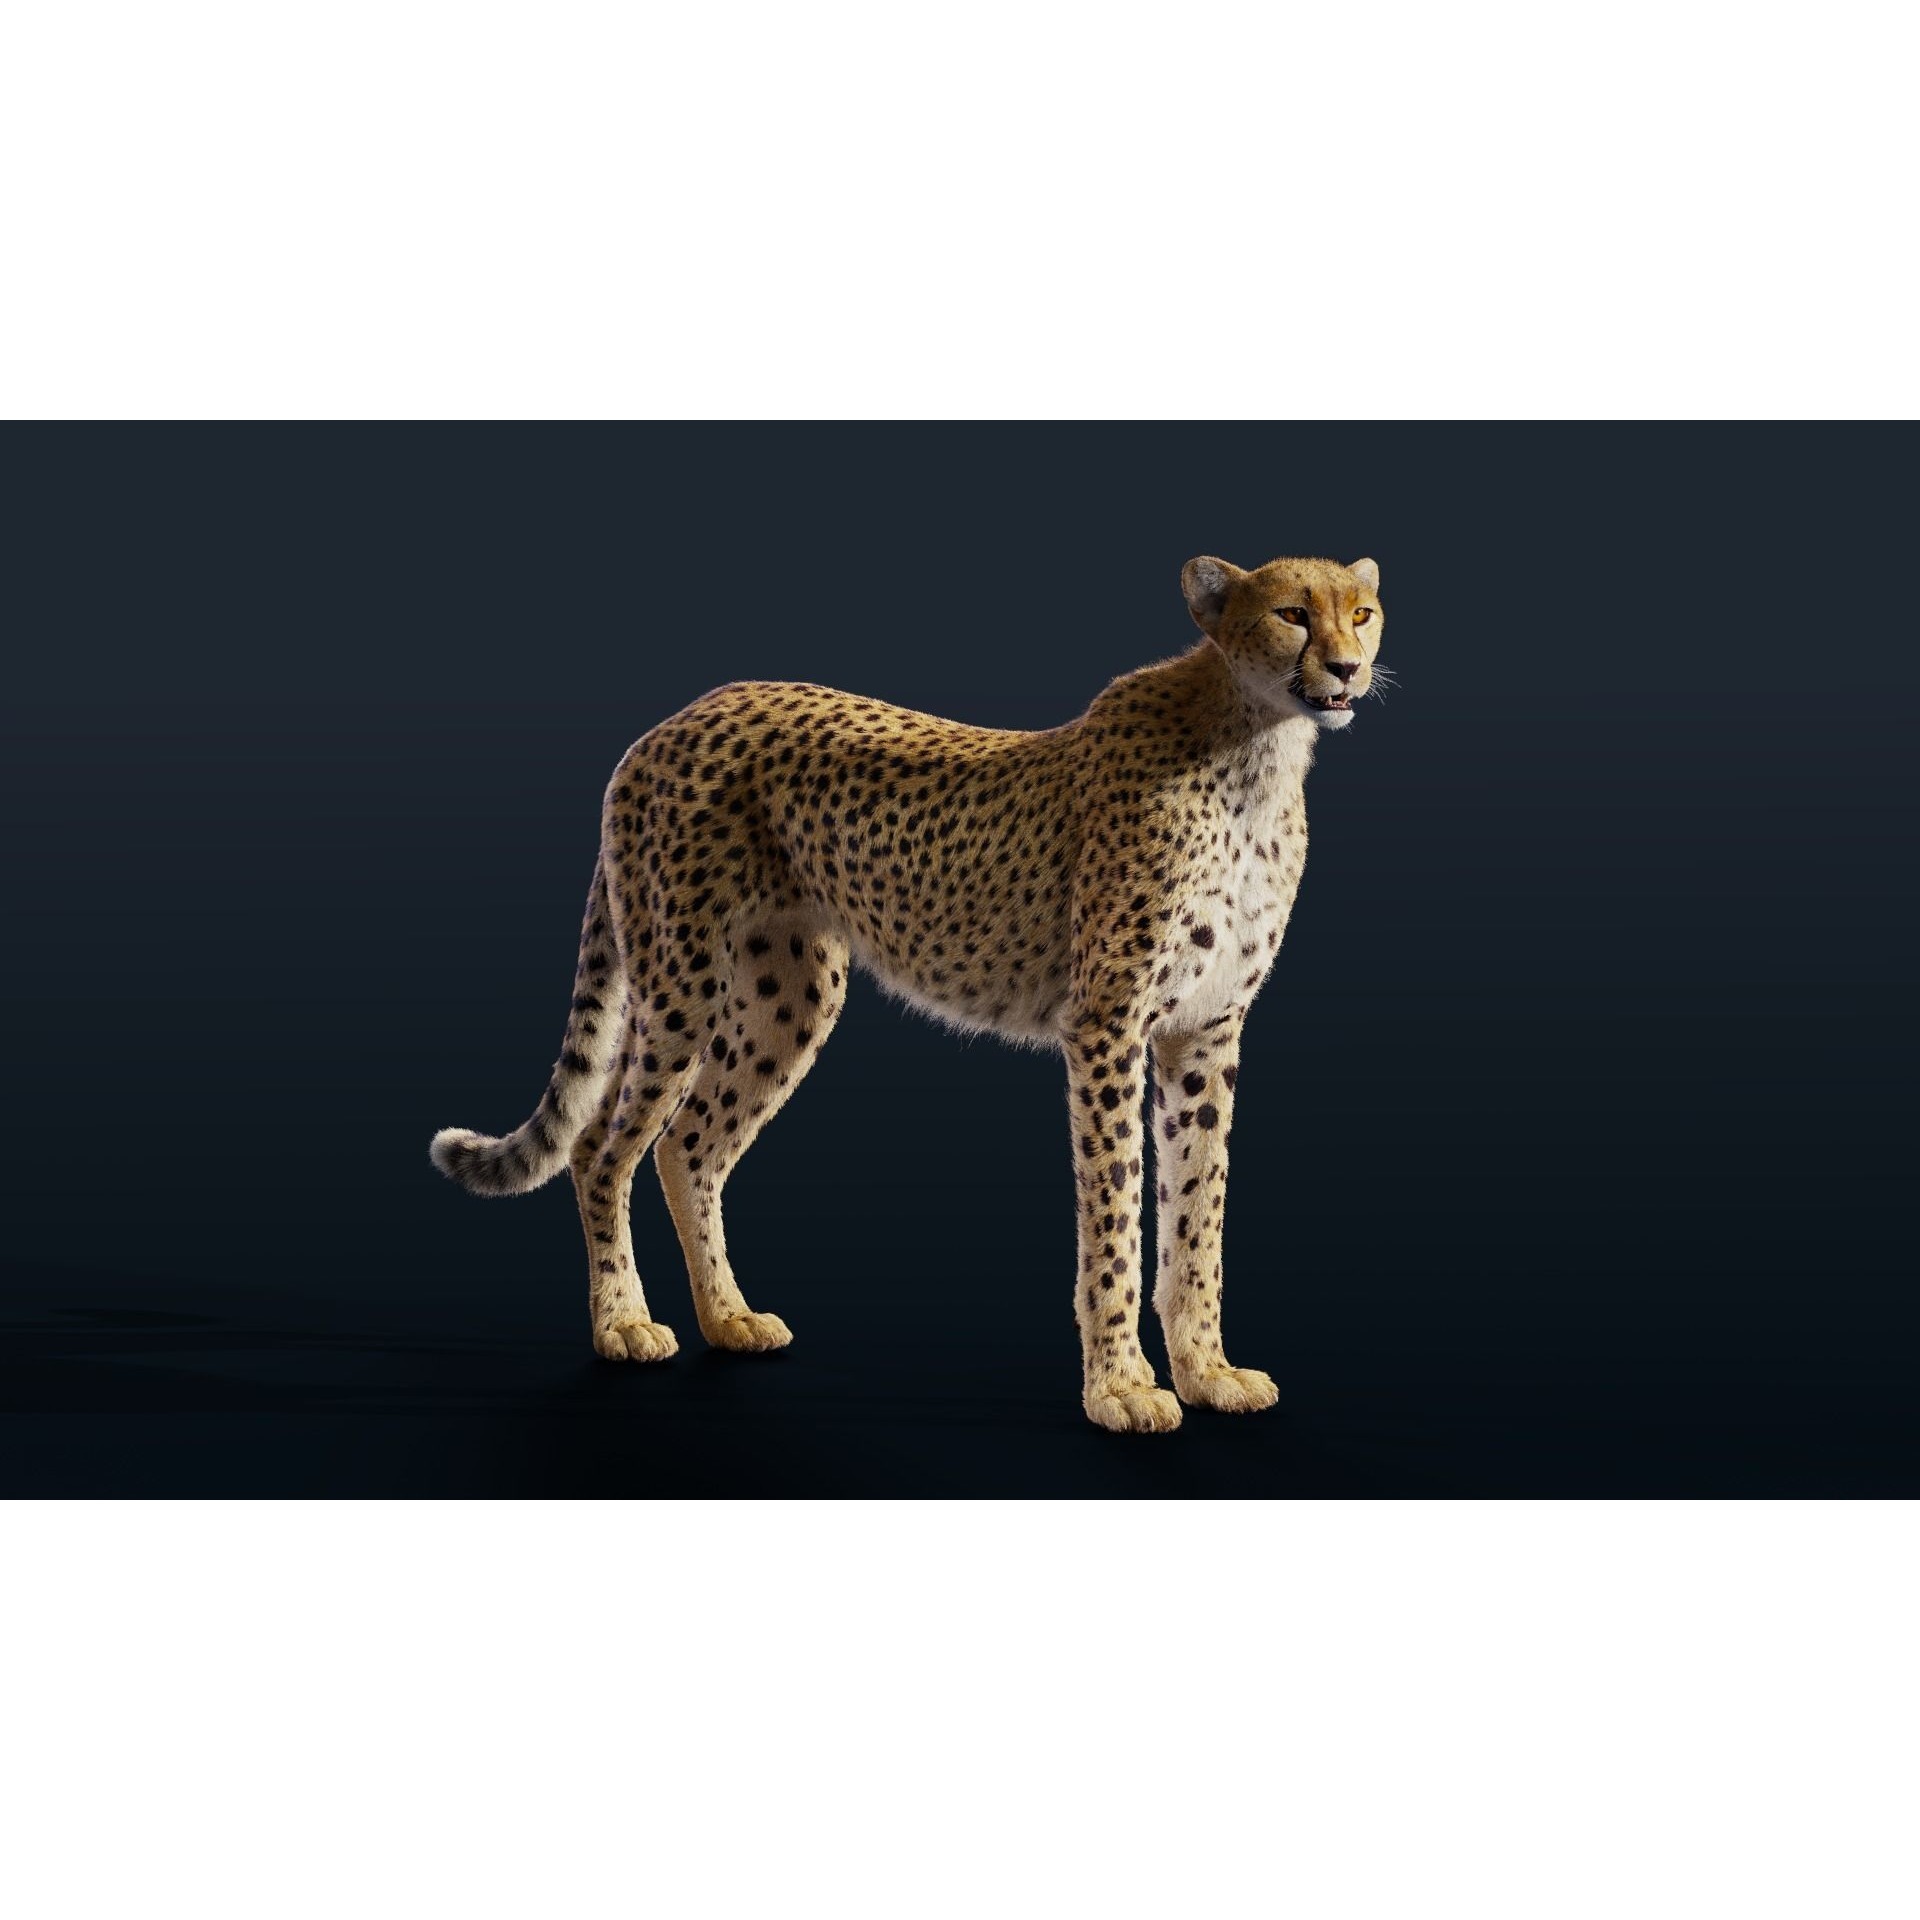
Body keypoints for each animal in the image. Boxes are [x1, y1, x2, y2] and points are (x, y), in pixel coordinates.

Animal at [430, 553, 1386, 1432]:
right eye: (1293, 614)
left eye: (1363, 613)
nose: (1346, 670)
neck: (1254, 750)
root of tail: (672, 721)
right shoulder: (1107, 1023)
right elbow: (1116, 1206)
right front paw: (1121, 1386)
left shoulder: (1205, 1029)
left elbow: (1199, 1207)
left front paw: (1206, 1370)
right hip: (681, 981)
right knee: (603, 1146)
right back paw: (623, 1324)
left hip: (788, 996)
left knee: (688, 1145)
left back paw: (728, 1318)